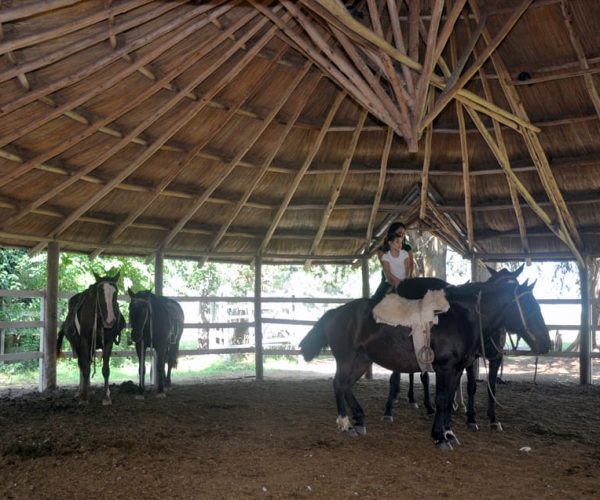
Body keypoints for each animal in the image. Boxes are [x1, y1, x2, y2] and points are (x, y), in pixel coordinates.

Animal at [56, 272, 124, 404]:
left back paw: (89, 389)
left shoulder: (108, 342)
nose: (110, 320)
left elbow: (105, 369)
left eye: (116, 292)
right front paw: (84, 397)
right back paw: (81, 390)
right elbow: (86, 368)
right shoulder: (85, 341)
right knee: (82, 364)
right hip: (77, 345)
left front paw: (106, 397)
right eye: (100, 293)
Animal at [298, 280, 552, 448]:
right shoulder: (444, 367)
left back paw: (359, 420)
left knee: (346, 386)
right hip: (346, 358)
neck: (462, 317)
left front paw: (448, 432)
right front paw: (439, 436)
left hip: (361, 360)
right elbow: (440, 400)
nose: (547, 344)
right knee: (339, 384)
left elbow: (448, 400)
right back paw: (346, 424)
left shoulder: (457, 369)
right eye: (530, 308)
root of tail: (334, 312)